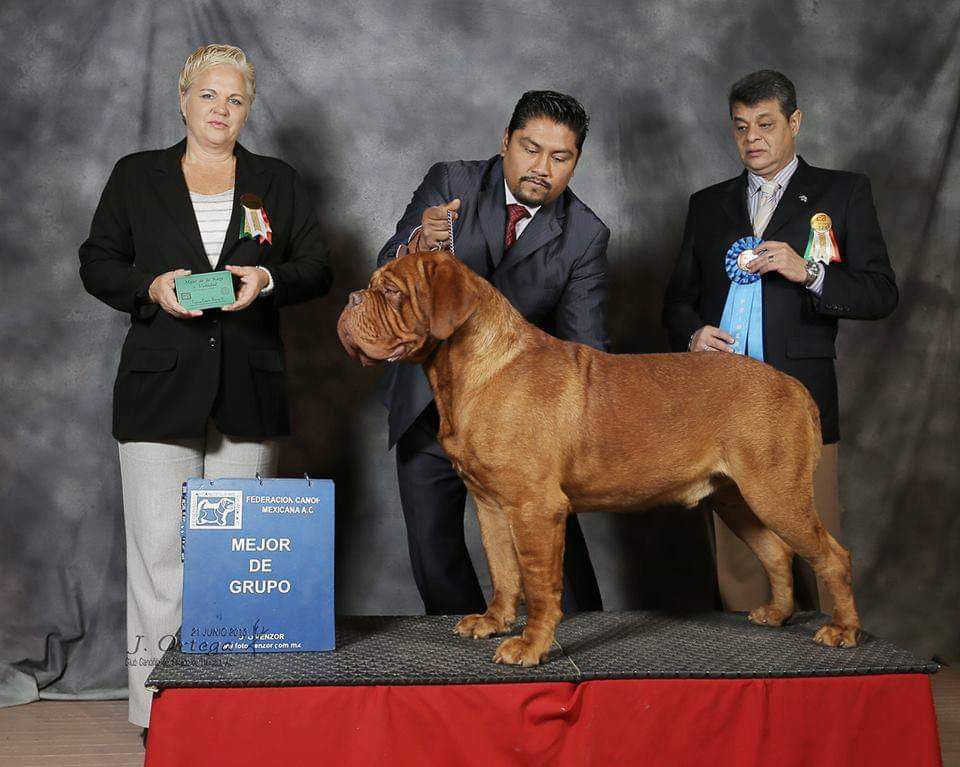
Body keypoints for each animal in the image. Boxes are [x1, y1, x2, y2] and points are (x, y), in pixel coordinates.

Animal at [340, 250, 864, 664]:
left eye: (391, 291)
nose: (351, 300)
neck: (470, 370)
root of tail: (795, 386)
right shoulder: (490, 504)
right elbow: (504, 571)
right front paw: (494, 621)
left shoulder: (535, 508)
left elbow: (539, 584)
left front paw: (530, 646)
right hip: (736, 498)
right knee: (776, 551)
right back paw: (777, 613)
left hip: (777, 492)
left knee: (832, 555)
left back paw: (843, 629)